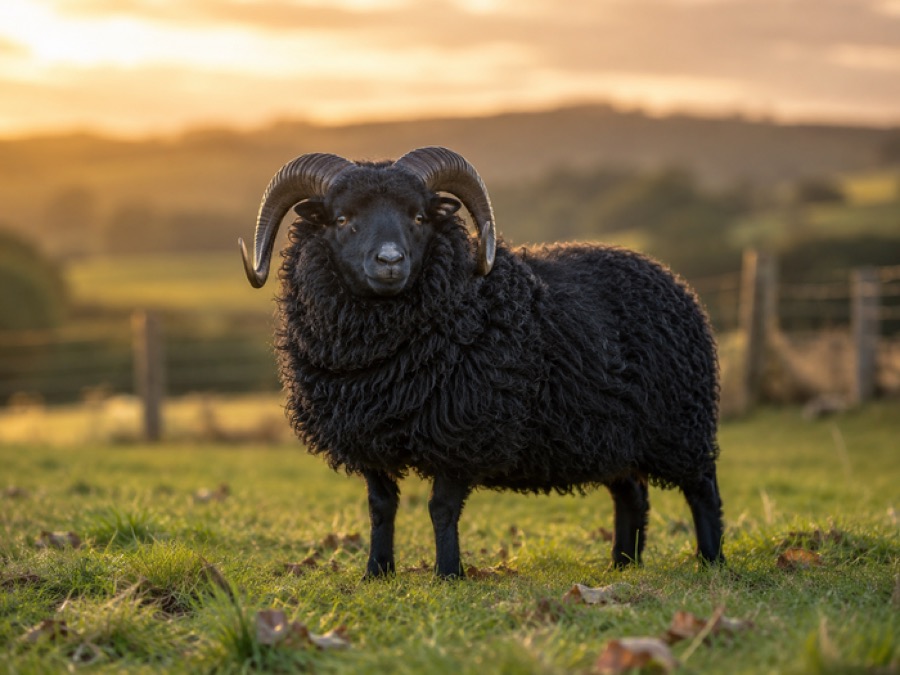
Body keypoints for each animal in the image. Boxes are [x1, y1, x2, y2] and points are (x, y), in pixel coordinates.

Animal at [239, 146, 724, 578]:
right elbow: (381, 507)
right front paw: (377, 571)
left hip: (680, 424)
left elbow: (441, 508)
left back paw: (710, 560)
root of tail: (673, 280)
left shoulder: (460, 431)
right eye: (342, 219)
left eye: (419, 218)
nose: (390, 261)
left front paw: (448, 573)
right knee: (631, 494)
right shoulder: (367, 434)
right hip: (611, 434)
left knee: (702, 488)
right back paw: (623, 563)